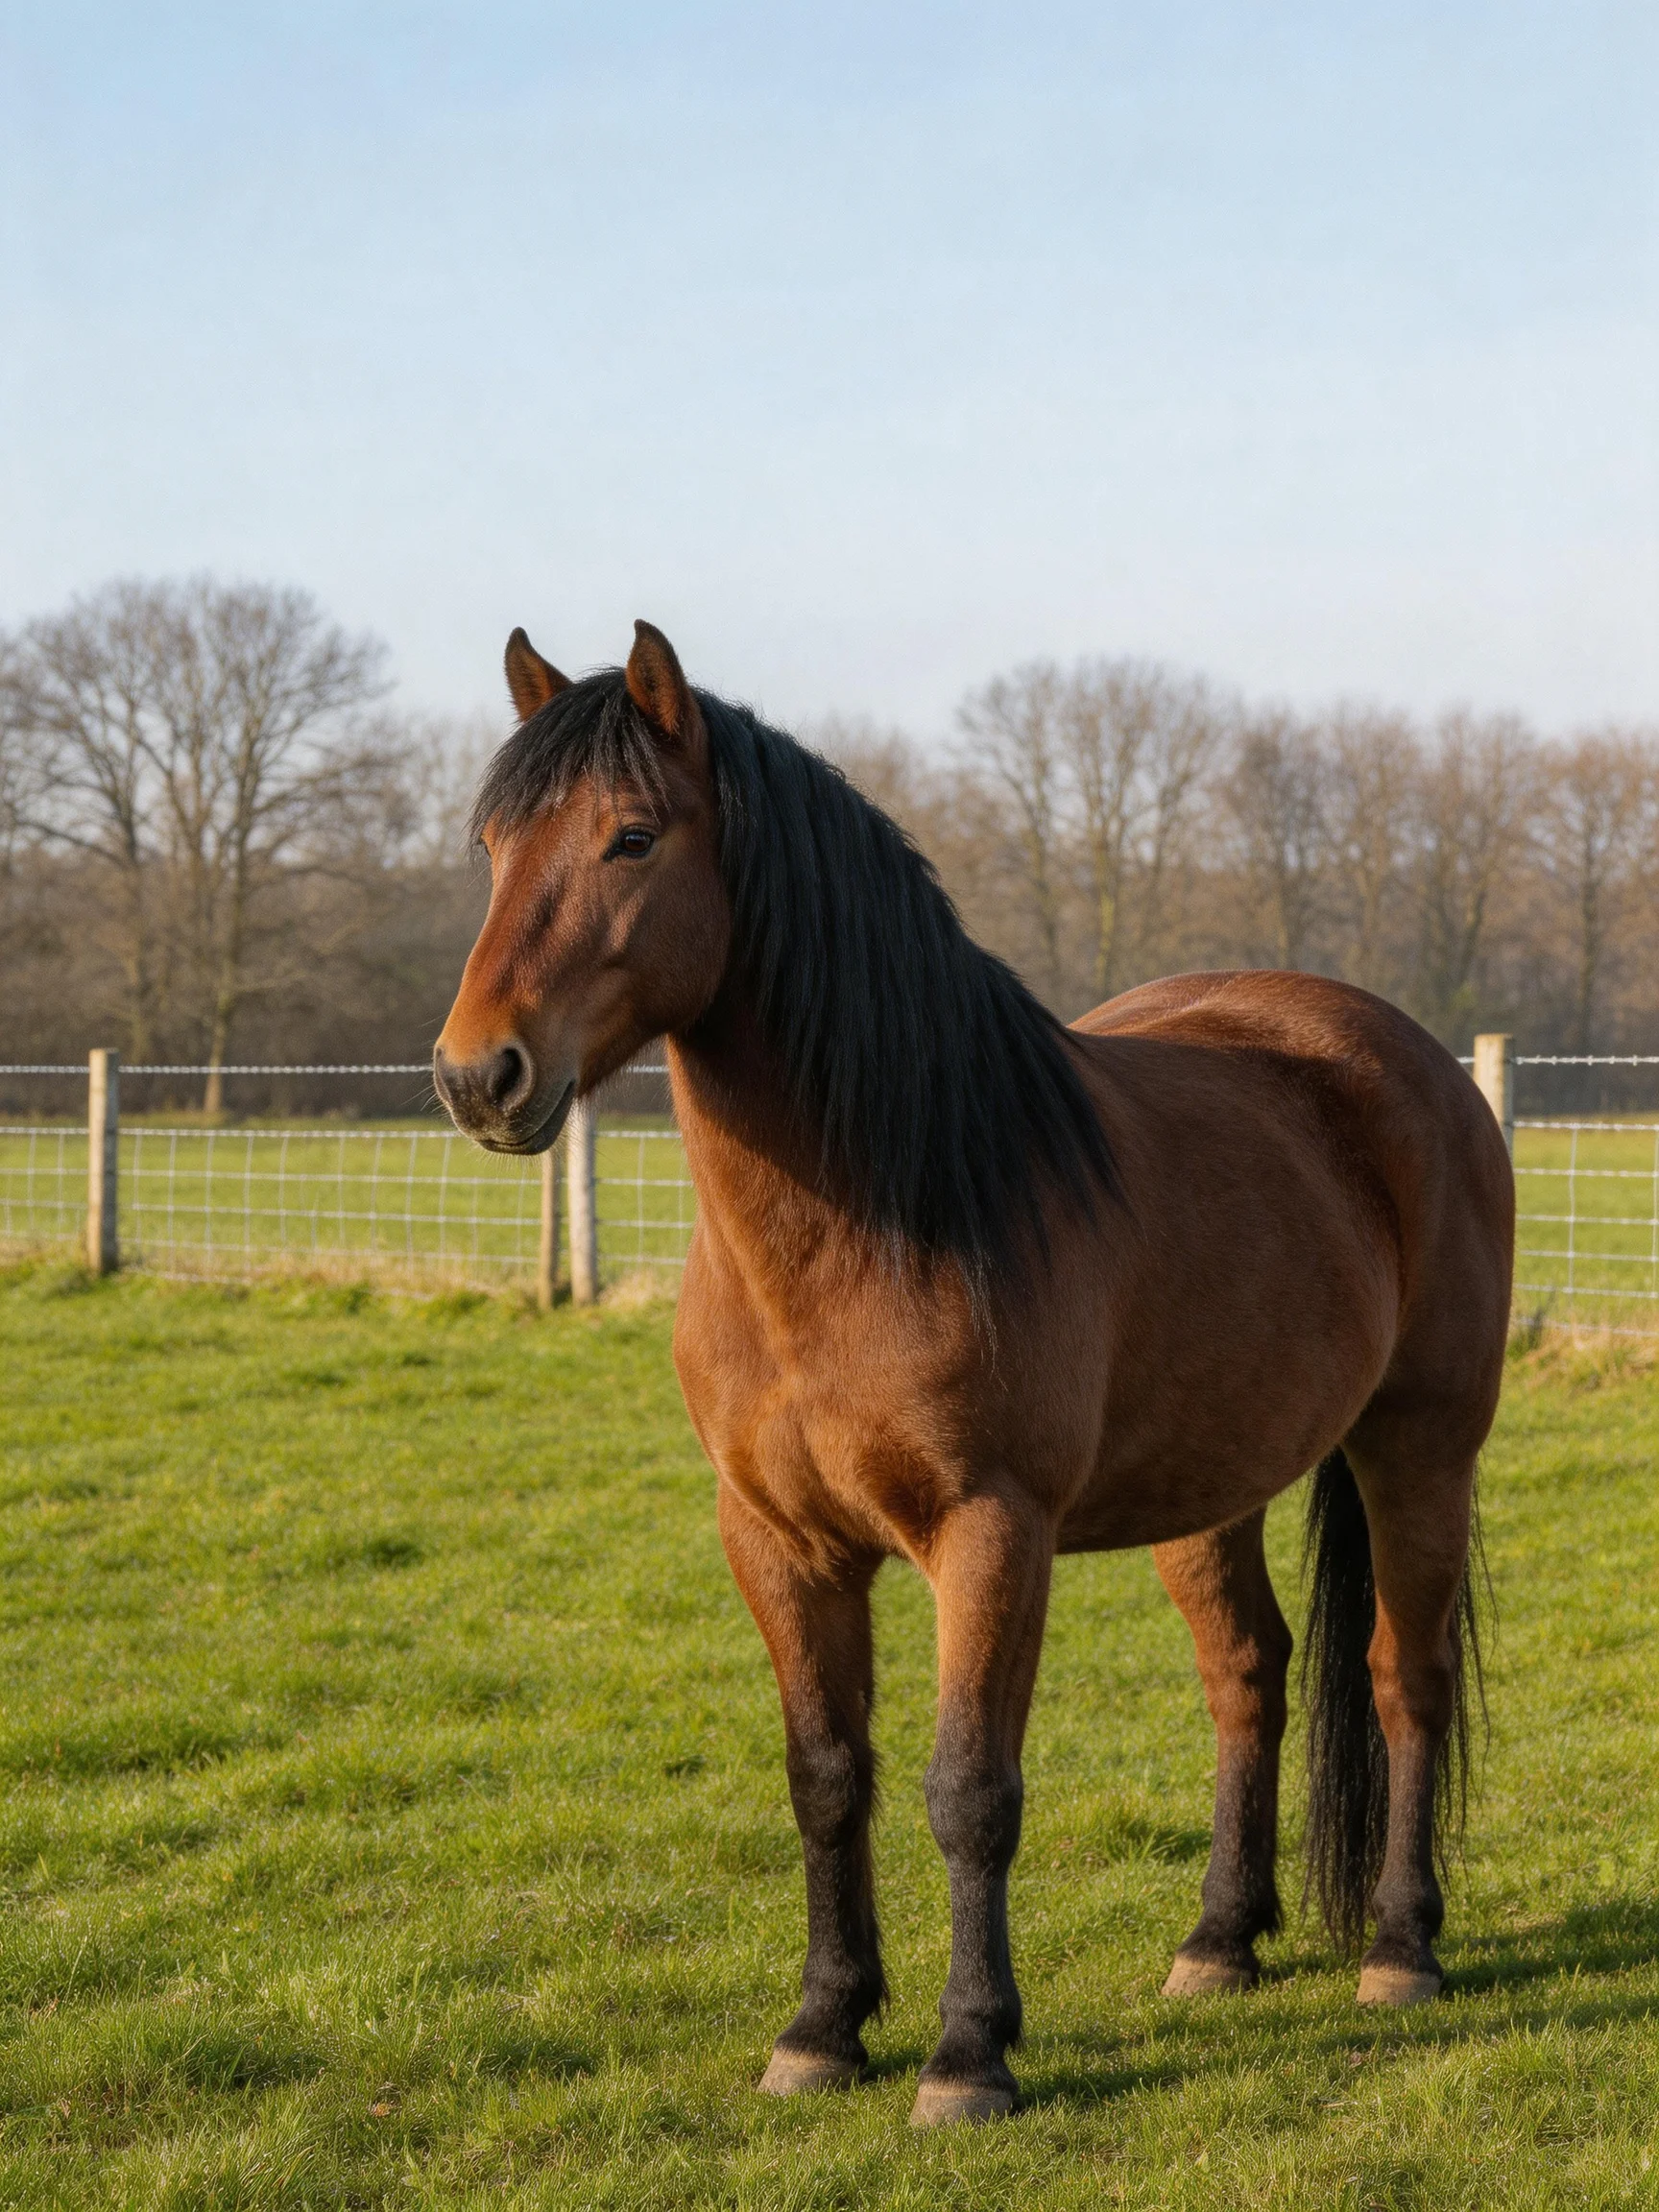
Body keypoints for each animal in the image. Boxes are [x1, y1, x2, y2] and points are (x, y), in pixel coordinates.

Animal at [434, 620, 1512, 2127]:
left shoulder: (989, 1531)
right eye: (490, 844)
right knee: (1247, 1674)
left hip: (1422, 1447)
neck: (878, 1218)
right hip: (1211, 1484)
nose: (479, 1077)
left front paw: (966, 2055)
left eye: (632, 837)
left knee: (1404, 1675)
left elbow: (970, 1791)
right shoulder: (777, 1542)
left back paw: (1403, 1950)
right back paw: (1218, 1942)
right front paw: (823, 2029)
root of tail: (1408, 1061)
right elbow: (828, 1776)